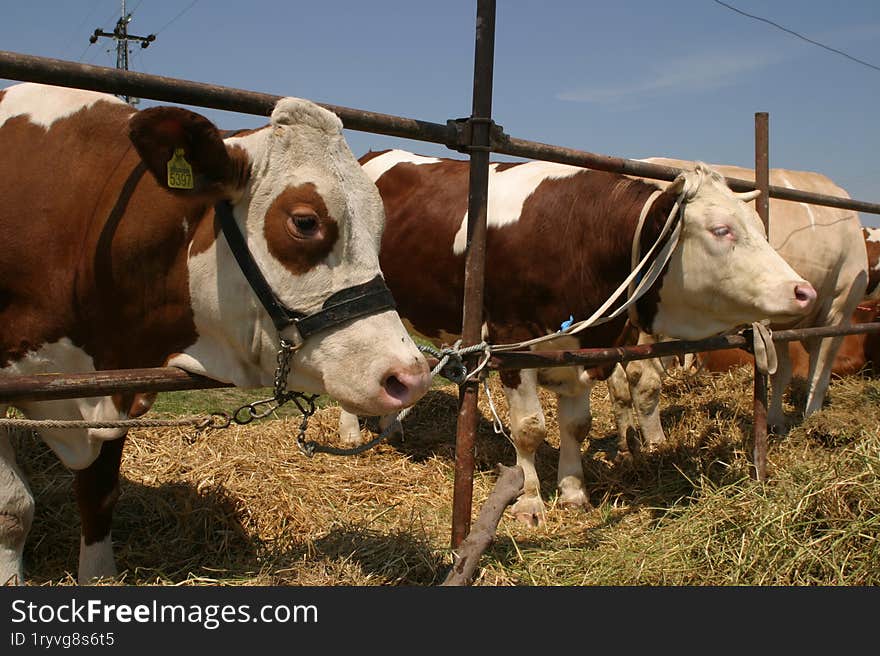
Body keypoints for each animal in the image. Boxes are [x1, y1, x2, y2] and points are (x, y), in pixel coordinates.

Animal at [0, 83, 434, 584]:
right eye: (304, 222)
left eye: (382, 228)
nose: (410, 376)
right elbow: (13, 507)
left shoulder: (114, 385)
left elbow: (99, 495)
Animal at [336, 150, 820, 528]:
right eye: (721, 230)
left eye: (760, 227)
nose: (804, 291)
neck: (579, 235)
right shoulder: (512, 345)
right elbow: (530, 429)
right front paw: (529, 501)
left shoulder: (584, 352)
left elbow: (577, 425)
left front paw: (573, 492)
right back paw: (351, 433)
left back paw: (392, 427)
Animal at [608, 160, 868, 448]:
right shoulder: (839, 309)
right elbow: (819, 373)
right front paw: (813, 419)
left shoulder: (780, 325)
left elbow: (782, 372)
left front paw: (776, 422)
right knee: (644, 378)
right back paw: (658, 444)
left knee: (618, 382)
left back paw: (628, 442)